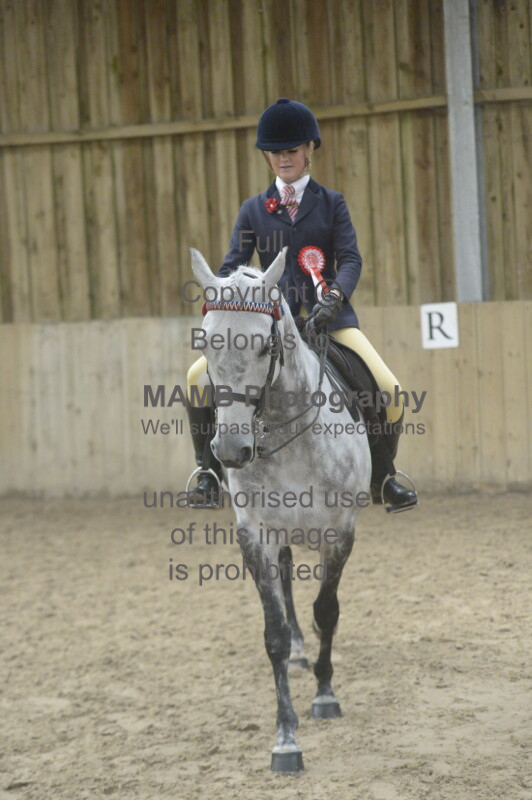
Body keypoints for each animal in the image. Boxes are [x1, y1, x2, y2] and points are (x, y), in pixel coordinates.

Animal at [189, 247, 371, 772]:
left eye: (264, 346)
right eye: (206, 343)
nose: (232, 451)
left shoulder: (340, 531)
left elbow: (327, 610)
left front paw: (325, 695)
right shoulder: (256, 533)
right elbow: (272, 632)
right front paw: (285, 740)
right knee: (288, 581)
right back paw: (296, 650)